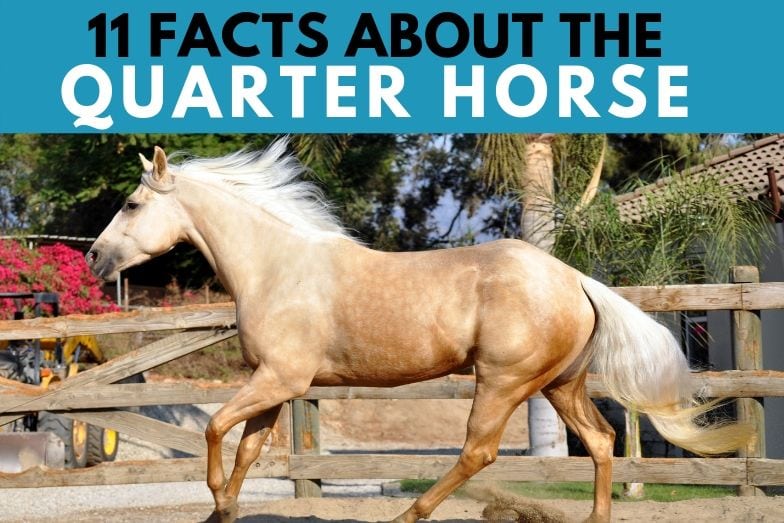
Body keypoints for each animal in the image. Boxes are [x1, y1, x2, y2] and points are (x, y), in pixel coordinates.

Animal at [87, 140, 750, 523]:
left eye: (132, 205)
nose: (94, 257)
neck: (276, 266)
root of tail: (577, 280)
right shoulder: (274, 384)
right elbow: (248, 447)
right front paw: (222, 511)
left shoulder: (279, 380)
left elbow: (217, 428)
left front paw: (218, 499)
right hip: (559, 385)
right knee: (601, 441)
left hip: (503, 382)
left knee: (479, 451)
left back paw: (410, 513)